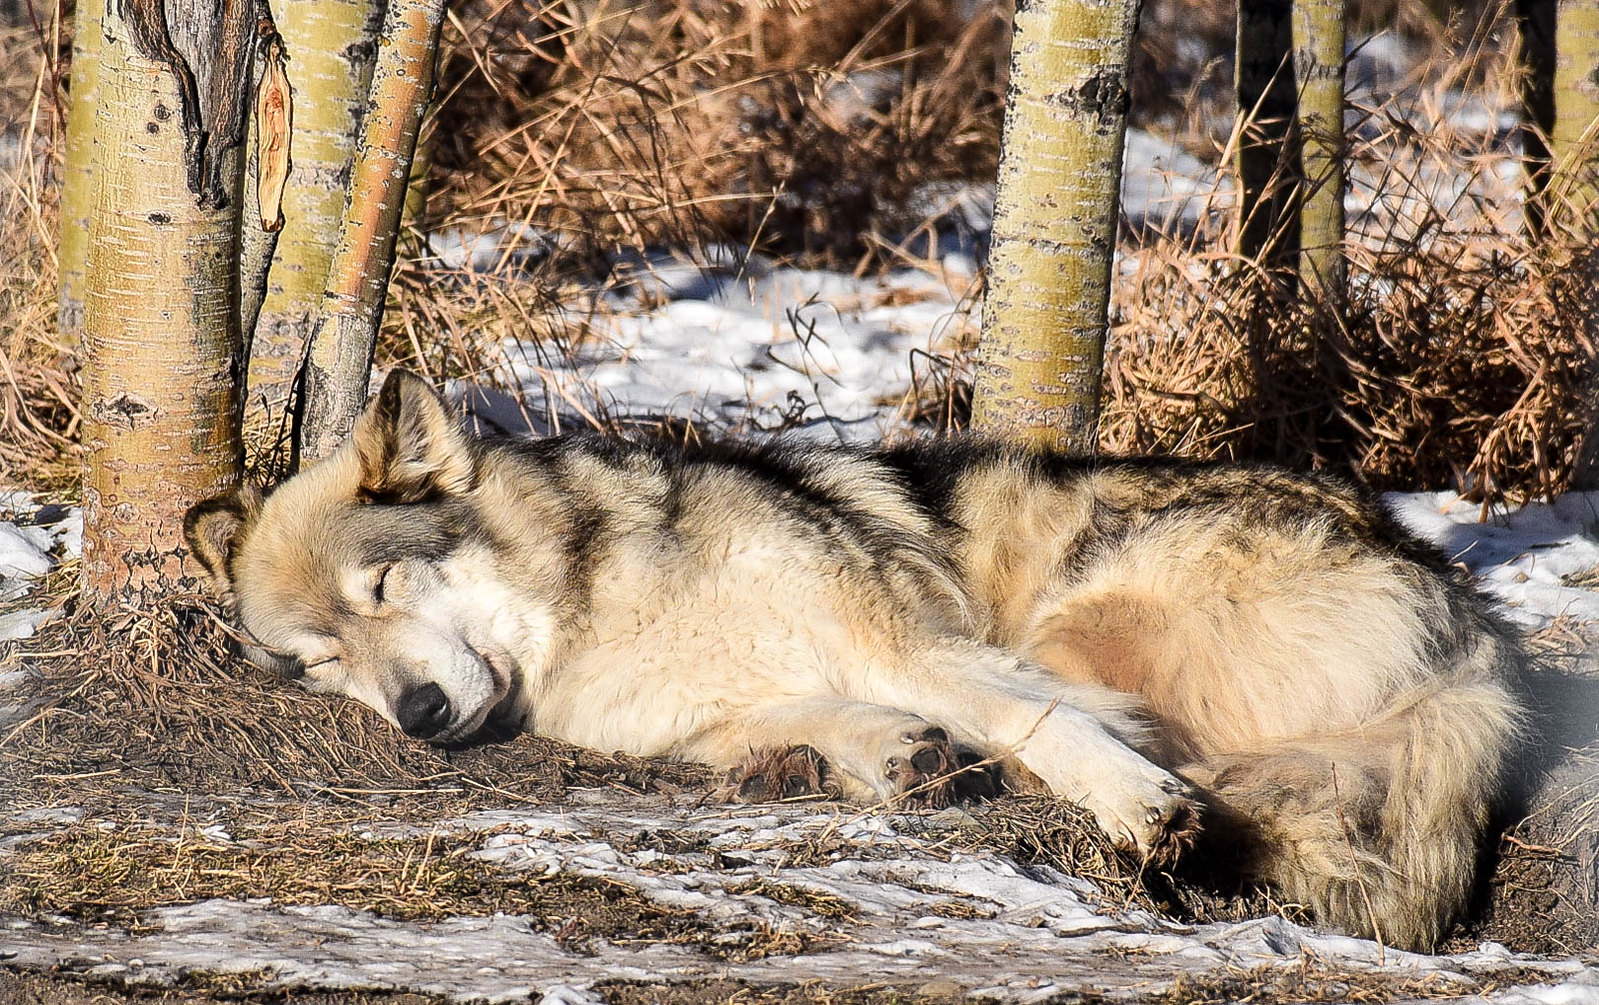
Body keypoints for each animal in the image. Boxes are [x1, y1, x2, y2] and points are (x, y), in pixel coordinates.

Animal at [183, 369, 1522, 945]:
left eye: (383, 587)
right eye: (319, 661)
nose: (412, 712)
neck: (608, 610)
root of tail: (1470, 626)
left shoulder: (904, 636)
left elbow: (1038, 720)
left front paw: (1135, 806)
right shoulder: (721, 710)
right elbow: (810, 719)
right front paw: (891, 759)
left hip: (1075, 618)